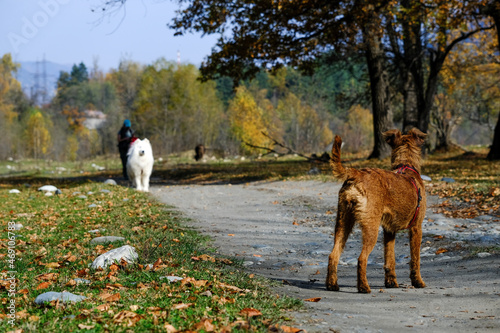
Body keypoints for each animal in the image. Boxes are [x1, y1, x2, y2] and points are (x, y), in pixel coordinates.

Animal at [326, 128, 428, 292]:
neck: (407, 166)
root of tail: (357, 174)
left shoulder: (389, 230)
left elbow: (390, 258)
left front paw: (391, 282)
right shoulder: (416, 228)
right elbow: (415, 259)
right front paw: (418, 282)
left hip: (343, 222)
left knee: (333, 255)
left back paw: (332, 285)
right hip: (371, 227)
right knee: (362, 258)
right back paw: (364, 287)